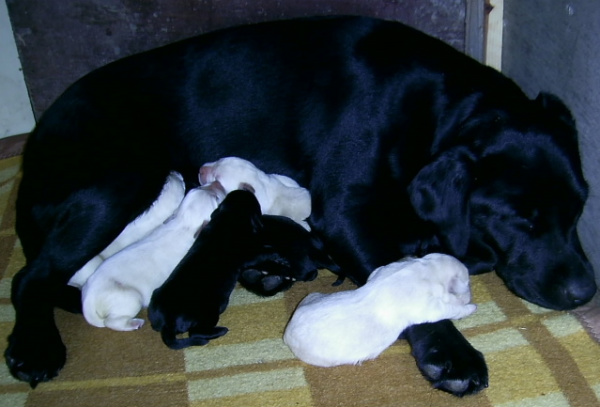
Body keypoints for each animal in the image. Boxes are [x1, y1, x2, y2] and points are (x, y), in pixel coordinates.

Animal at [82, 183, 225, 334]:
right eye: (216, 198)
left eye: (198, 187)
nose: (217, 183)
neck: (184, 223)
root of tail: (88, 300)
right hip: (131, 299)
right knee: (112, 322)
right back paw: (134, 323)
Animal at [148, 190, 340, 350]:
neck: (228, 218)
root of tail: (167, 325)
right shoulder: (248, 252)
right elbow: (263, 251)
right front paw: (276, 256)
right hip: (210, 311)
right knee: (197, 332)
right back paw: (221, 330)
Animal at [284, 253, 476, 368]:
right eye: (467, 284)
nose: (471, 295)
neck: (426, 268)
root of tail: (286, 333)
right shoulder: (430, 308)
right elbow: (450, 308)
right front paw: (469, 307)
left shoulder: (382, 270)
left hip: (312, 296)